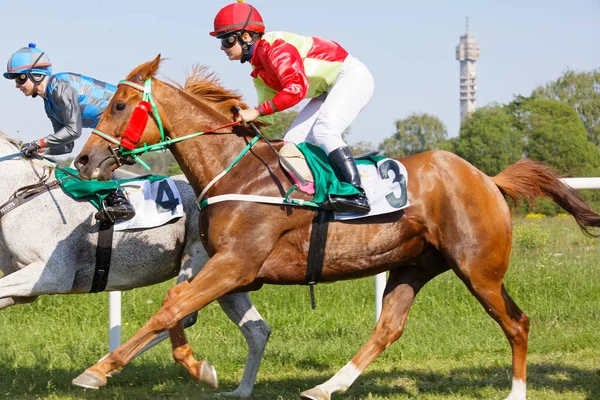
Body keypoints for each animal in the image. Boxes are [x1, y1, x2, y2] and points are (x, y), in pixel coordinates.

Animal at [0, 131, 268, 396]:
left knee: (183, 313)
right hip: (228, 274)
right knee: (258, 330)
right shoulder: (26, 287)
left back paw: (104, 368)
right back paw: (241, 391)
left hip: (200, 258)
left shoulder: (50, 275)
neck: (22, 195)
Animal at [72, 54, 596, 398]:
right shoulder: (231, 268)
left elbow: (171, 308)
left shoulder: (237, 263)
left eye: (118, 106)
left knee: (516, 322)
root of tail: (487, 178)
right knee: (388, 327)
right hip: (415, 265)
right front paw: (201, 370)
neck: (238, 173)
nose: (84, 159)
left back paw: (516, 392)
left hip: (479, 268)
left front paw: (99, 369)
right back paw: (327, 386)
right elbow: (178, 307)